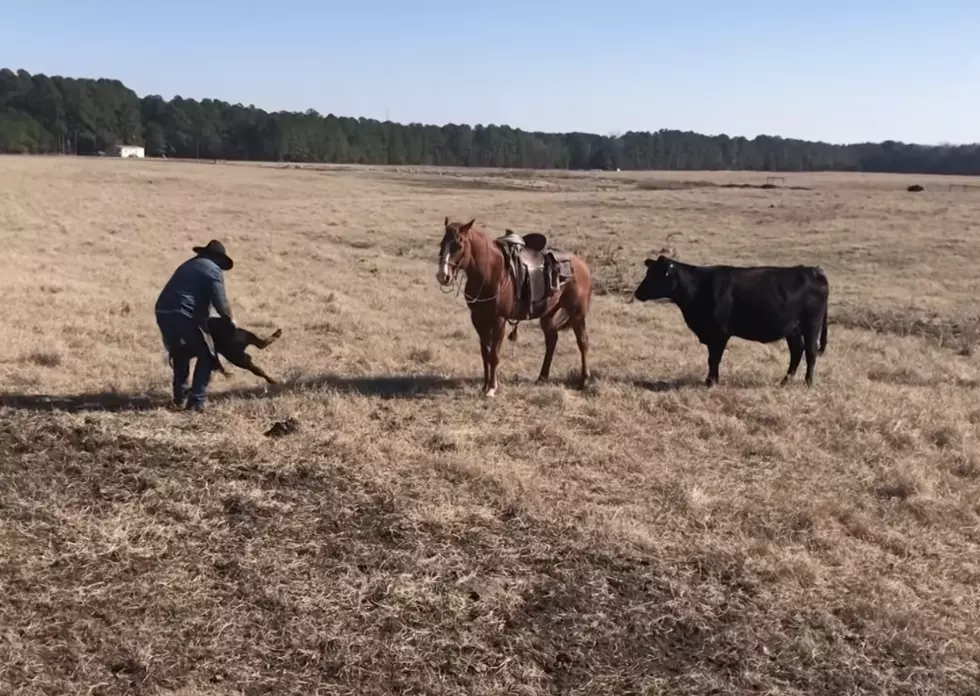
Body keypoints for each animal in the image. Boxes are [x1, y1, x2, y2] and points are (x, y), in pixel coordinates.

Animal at [434, 218, 588, 396]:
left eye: (458, 245)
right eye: (442, 244)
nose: (443, 276)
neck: (490, 273)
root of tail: (581, 264)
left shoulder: (499, 320)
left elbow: (494, 355)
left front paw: (492, 388)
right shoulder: (478, 319)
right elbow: (485, 353)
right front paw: (485, 385)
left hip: (577, 314)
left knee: (583, 343)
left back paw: (584, 381)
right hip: (548, 314)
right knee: (552, 340)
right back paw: (542, 377)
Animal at [636, 256, 828, 386]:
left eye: (655, 275)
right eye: (648, 272)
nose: (637, 293)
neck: (699, 287)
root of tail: (814, 270)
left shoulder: (719, 333)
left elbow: (714, 359)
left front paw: (711, 382)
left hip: (811, 324)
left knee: (810, 352)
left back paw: (807, 383)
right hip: (792, 329)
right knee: (797, 351)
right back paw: (785, 381)